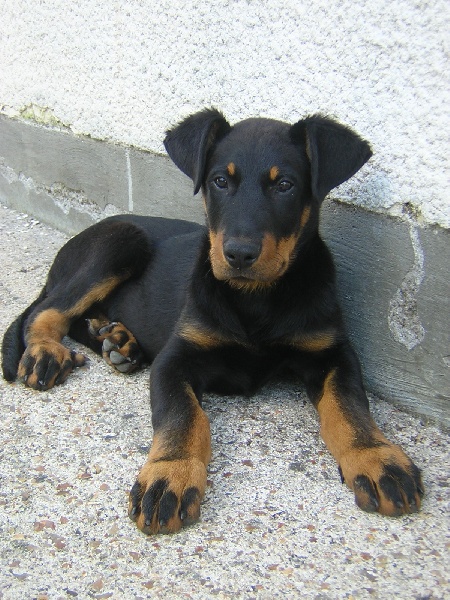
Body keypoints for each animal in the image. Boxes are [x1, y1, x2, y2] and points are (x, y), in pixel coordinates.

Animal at [2, 108, 424, 534]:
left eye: (285, 185)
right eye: (220, 181)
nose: (238, 254)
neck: (256, 298)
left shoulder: (332, 352)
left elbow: (350, 407)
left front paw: (376, 457)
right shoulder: (176, 358)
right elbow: (182, 416)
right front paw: (170, 474)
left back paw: (117, 341)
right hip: (123, 240)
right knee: (46, 310)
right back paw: (47, 351)